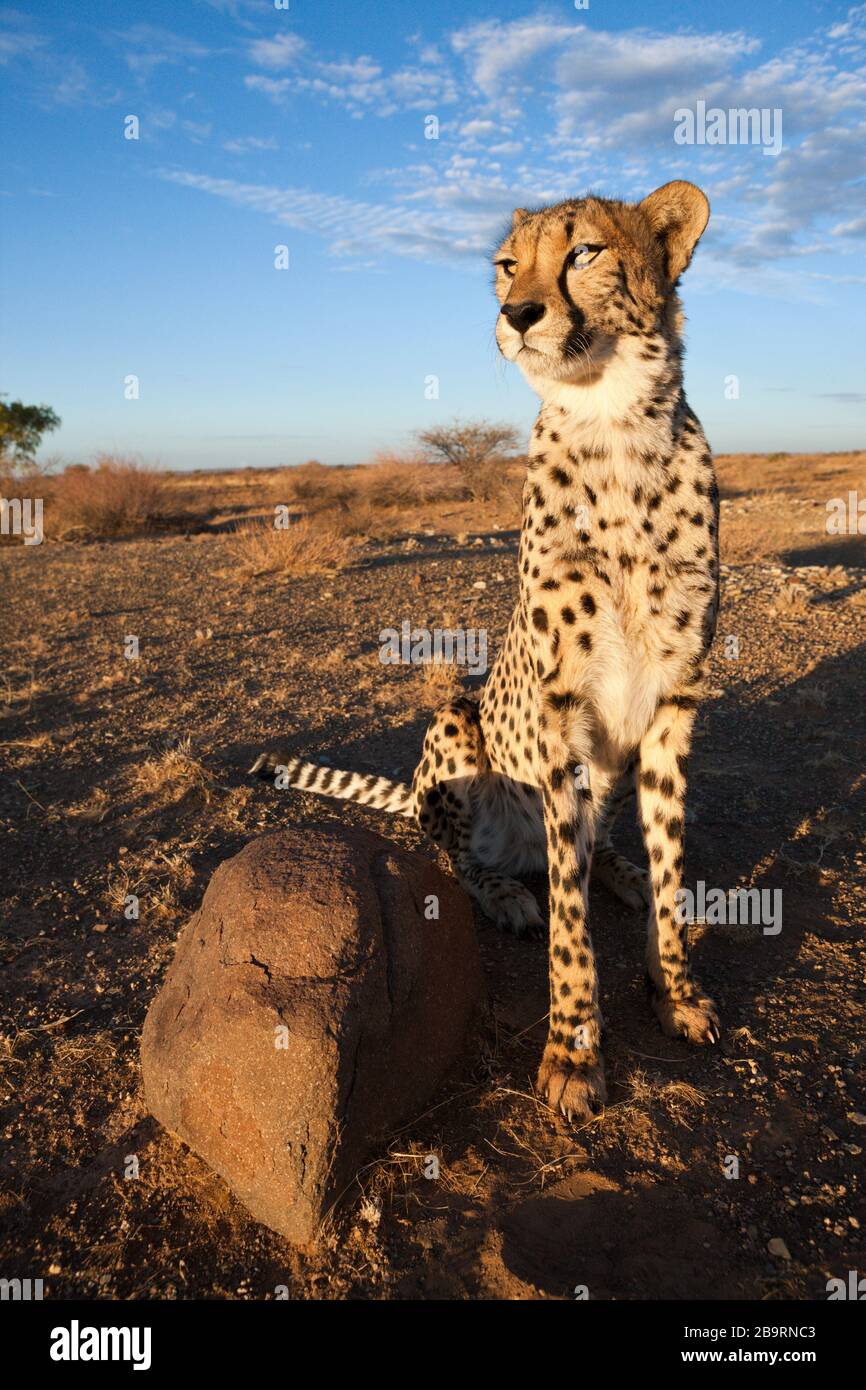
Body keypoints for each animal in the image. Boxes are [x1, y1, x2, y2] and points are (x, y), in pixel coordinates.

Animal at [252, 184, 722, 1123]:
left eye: (584, 253)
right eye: (509, 265)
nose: (517, 313)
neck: (617, 426)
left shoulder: (673, 707)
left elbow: (672, 864)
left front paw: (675, 989)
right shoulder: (558, 716)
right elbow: (569, 926)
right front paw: (574, 1052)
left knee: (591, 851)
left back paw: (616, 869)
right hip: (455, 725)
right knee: (464, 858)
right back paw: (507, 889)